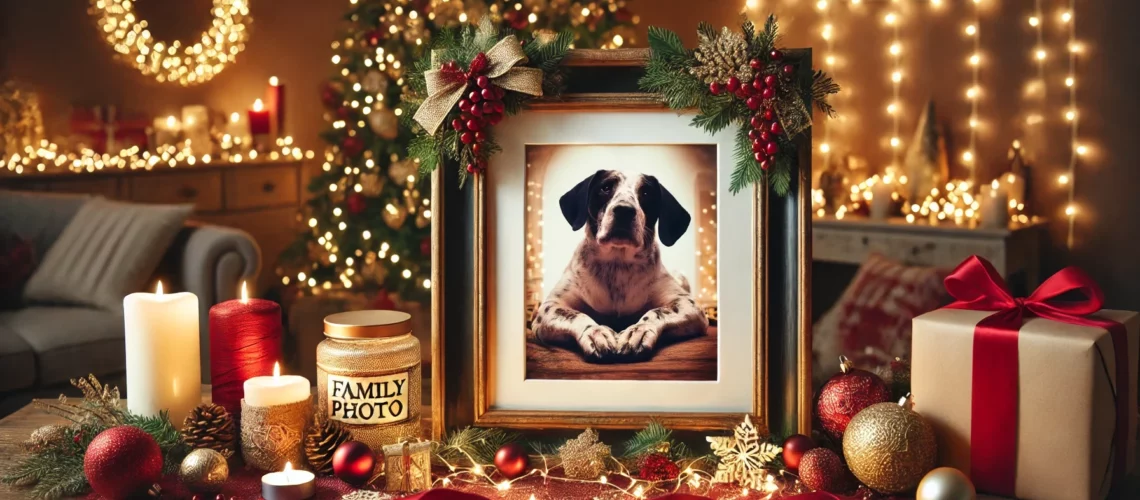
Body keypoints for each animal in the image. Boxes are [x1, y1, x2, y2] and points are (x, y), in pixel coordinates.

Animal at [528, 170, 706, 362]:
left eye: (646, 192)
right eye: (606, 188)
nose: (624, 210)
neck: (617, 265)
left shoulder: (688, 304)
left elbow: (657, 312)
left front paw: (638, 331)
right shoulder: (550, 307)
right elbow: (575, 315)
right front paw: (595, 331)